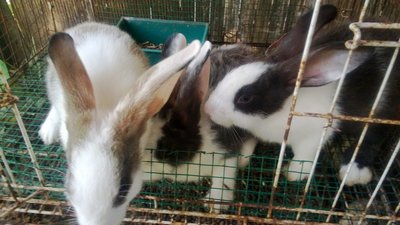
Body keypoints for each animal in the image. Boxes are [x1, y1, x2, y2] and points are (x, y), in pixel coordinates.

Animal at [205, 3, 398, 186]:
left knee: (372, 136)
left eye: (245, 98)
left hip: (380, 111)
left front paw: (292, 173)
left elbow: (304, 157)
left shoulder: (315, 136)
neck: (287, 107)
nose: (208, 109)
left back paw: (353, 172)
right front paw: (242, 159)